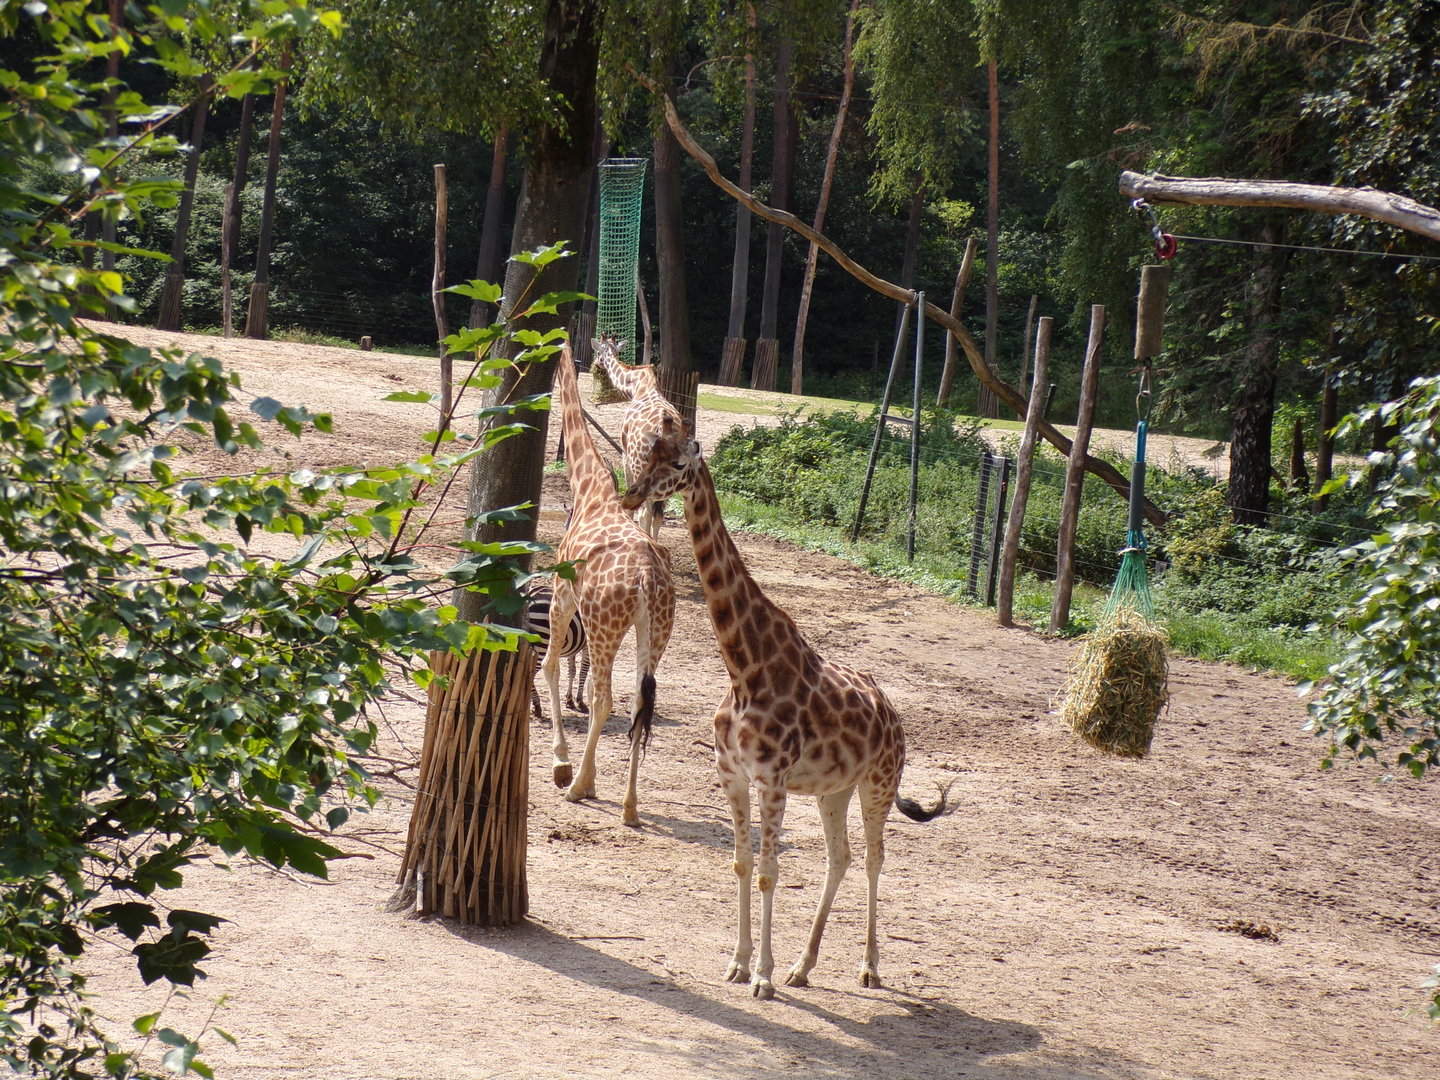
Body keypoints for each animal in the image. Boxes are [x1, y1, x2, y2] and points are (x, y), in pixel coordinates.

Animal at [542, 342, 677, 827]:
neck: (588, 490)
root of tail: (647, 581)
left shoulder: (561, 597)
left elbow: (550, 667)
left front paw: (562, 764)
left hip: (605, 626)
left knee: (604, 700)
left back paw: (578, 786)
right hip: (655, 631)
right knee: (639, 703)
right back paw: (631, 808)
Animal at [590, 333, 692, 539]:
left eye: (597, 352)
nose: (597, 364)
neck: (638, 386)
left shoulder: (625, 455)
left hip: (640, 466)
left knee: (645, 511)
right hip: (672, 476)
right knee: (658, 513)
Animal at [622, 445, 948, 1000]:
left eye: (678, 462)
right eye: (646, 453)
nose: (631, 494)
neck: (745, 668)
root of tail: (893, 715)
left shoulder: (771, 779)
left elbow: (769, 872)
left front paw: (763, 976)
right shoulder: (732, 774)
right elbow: (741, 863)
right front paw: (739, 963)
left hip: (878, 783)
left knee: (873, 858)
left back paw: (868, 968)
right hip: (833, 790)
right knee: (838, 857)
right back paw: (804, 965)